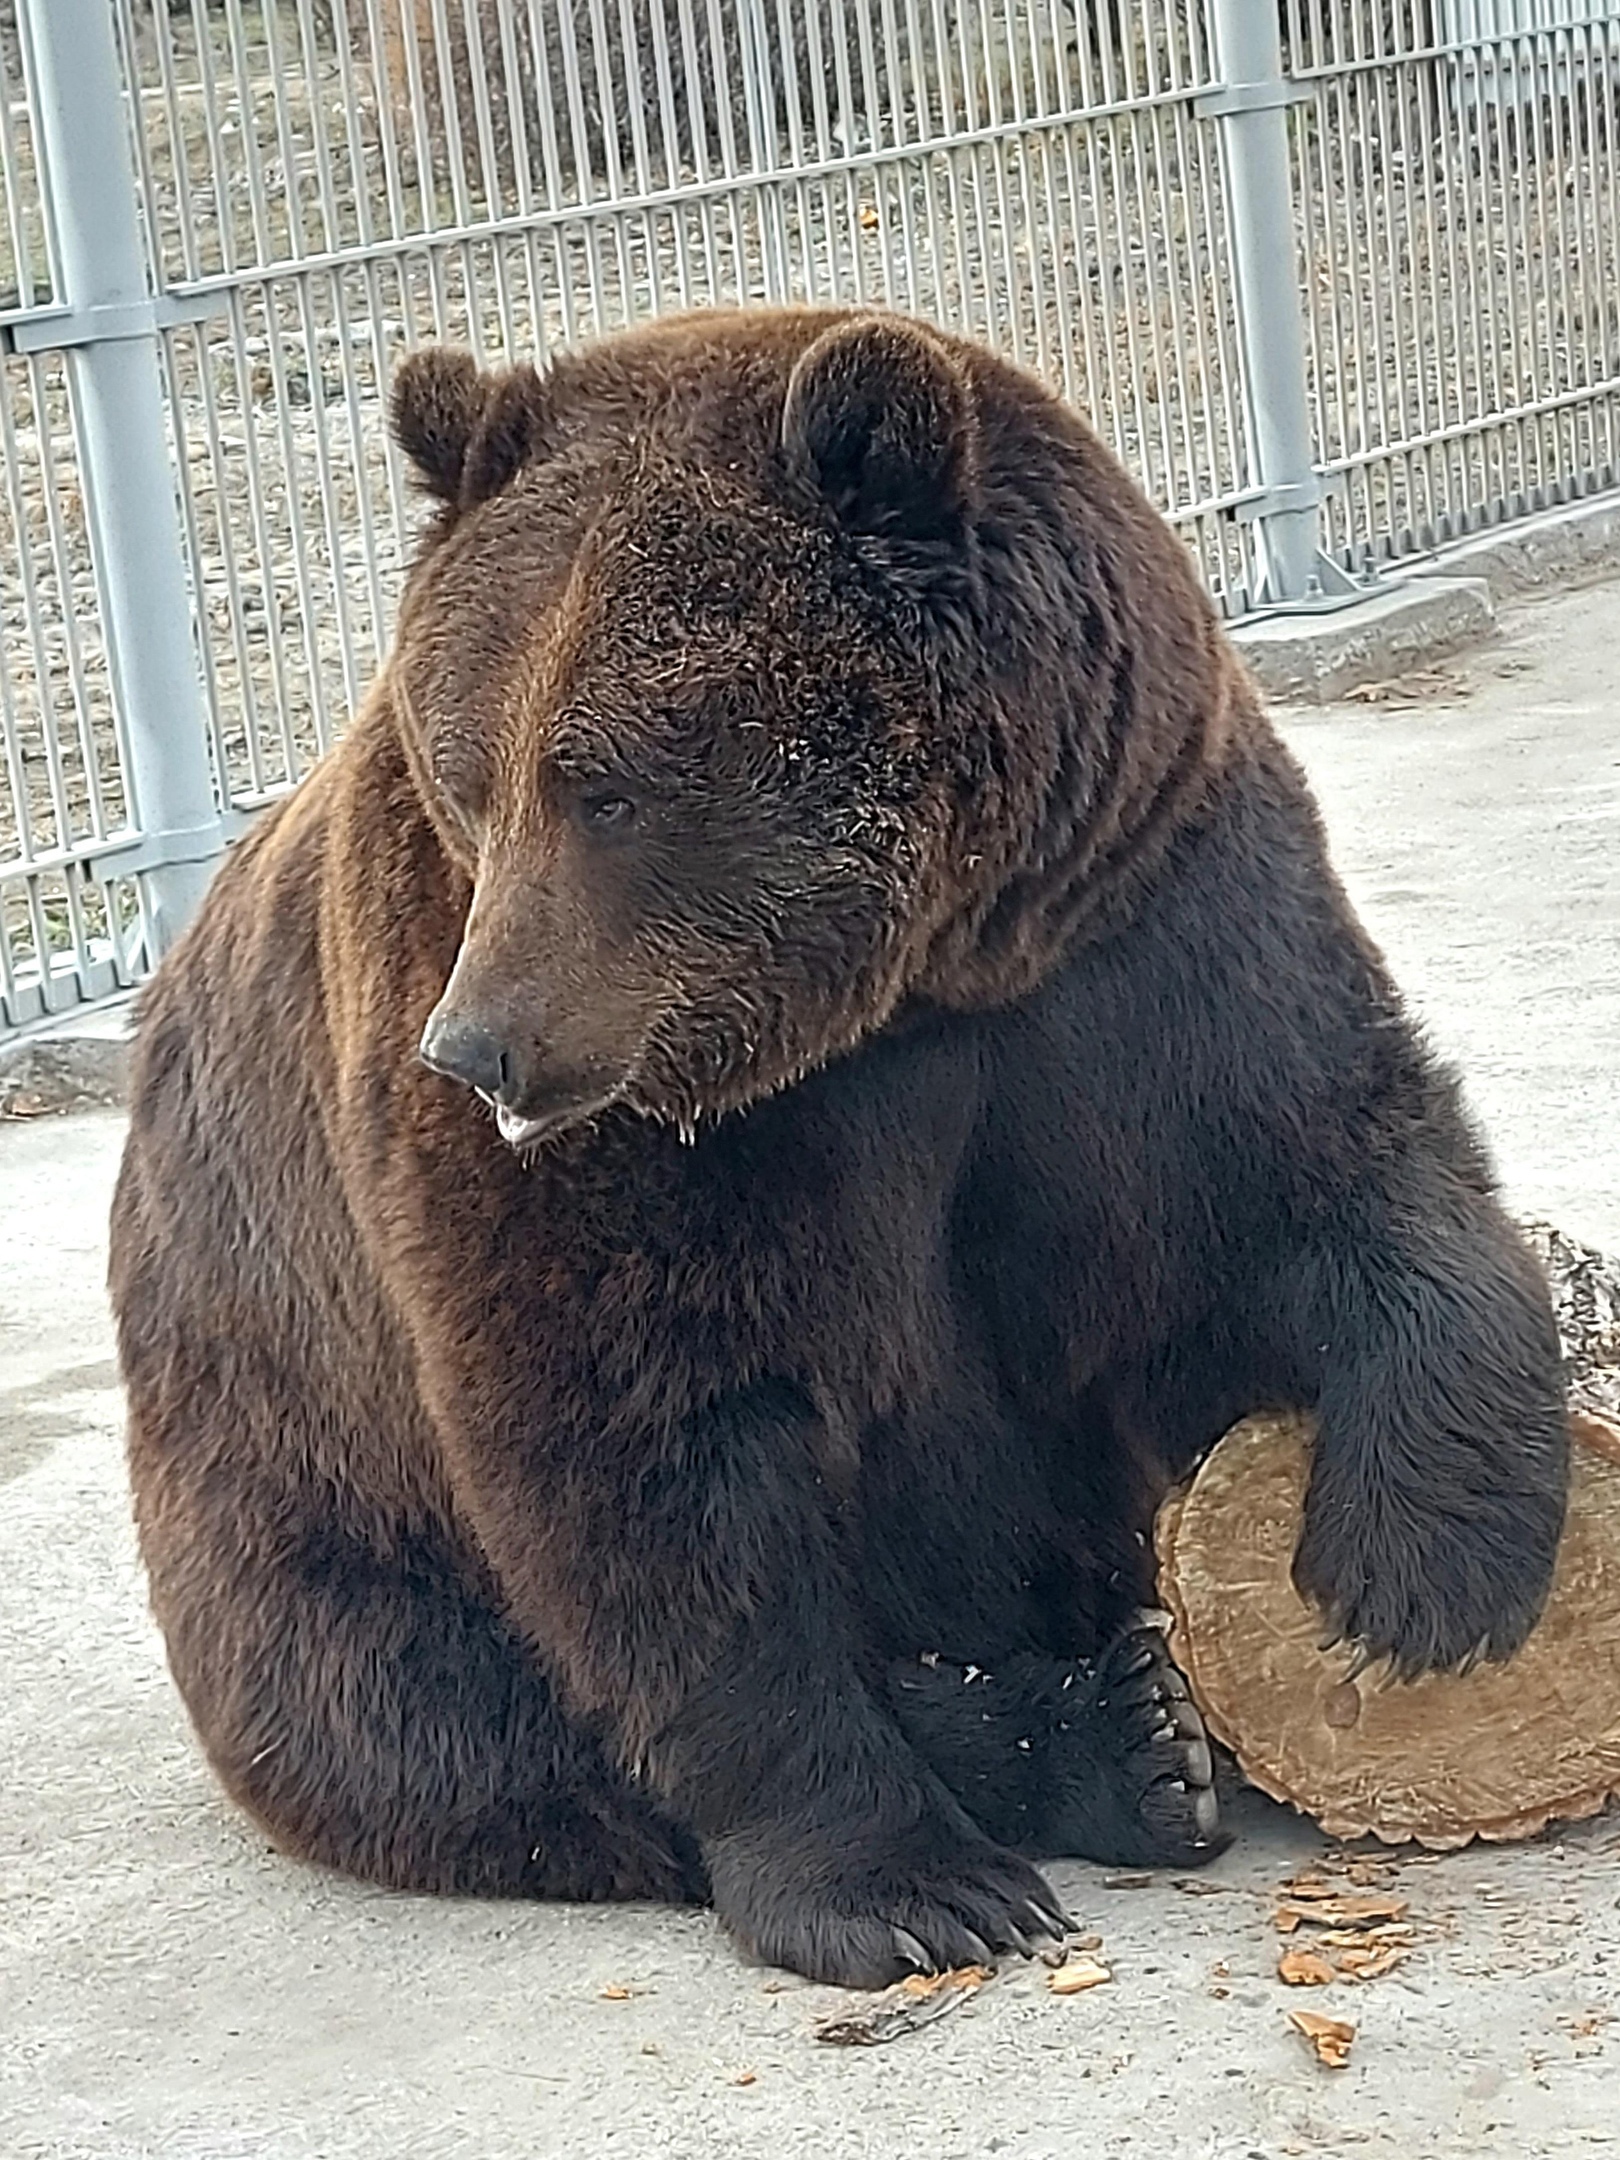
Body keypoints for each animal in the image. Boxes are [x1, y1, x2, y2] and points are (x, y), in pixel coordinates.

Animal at [104, 304, 1572, 1987]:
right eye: (470, 774)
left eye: (602, 784)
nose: (475, 1051)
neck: (912, 987)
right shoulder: (604, 1098)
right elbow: (652, 1440)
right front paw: (905, 1883)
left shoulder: (1139, 918)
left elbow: (1311, 1172)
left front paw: (1420, 1574)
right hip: (289, 1484)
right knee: (450, 1714)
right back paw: (1101, 1734)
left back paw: (1142, 1730)